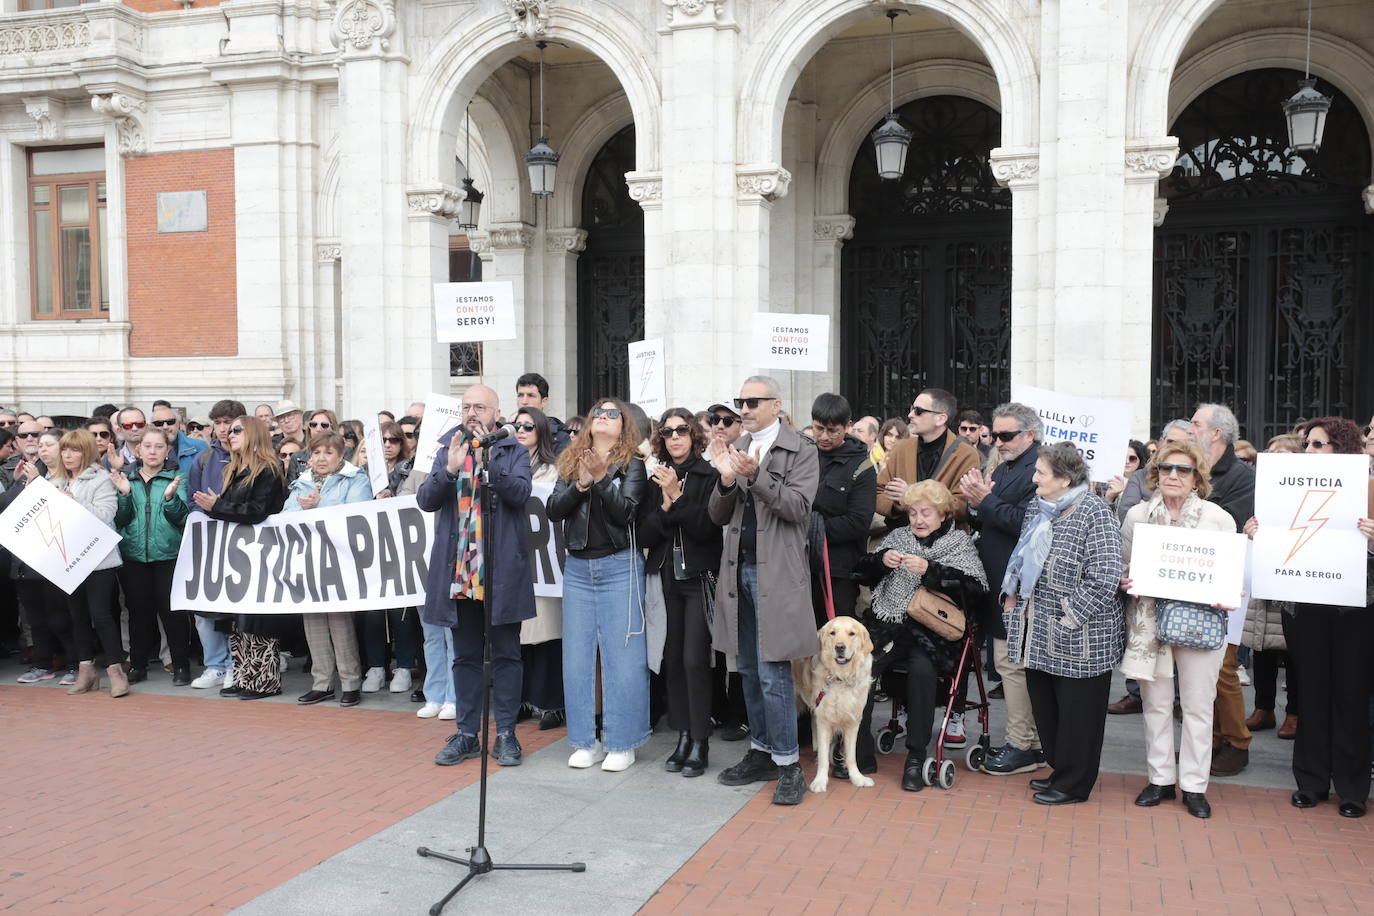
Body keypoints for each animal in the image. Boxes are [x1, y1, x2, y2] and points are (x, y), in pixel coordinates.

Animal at [796, 615, 868, 796]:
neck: (840, 677)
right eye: (832, 633)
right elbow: (823, 758)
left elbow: (851, 755)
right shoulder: (824, 721)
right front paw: (820, 781)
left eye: (852, 633)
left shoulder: (853, 722)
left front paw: (857, 778)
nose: (840, 647)